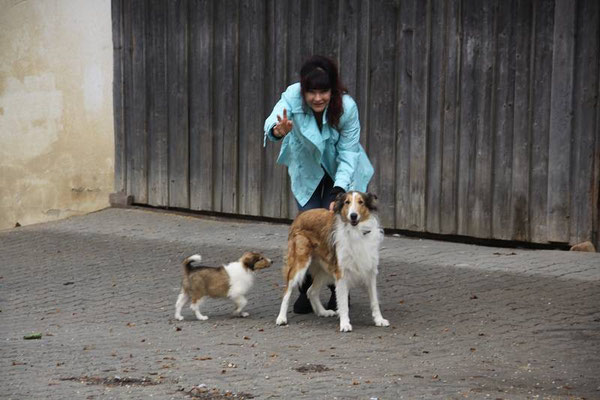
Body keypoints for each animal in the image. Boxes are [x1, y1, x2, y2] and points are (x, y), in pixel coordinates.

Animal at [276, 191, 390, 332]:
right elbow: (343, 302)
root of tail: (301, 215)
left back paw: (323, 312)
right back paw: (281, 318)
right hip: (300, 264)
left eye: (361, 202)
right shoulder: (341, 274)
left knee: (311, 291)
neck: (356, 232)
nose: (353, 215)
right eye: (347, 202)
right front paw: (345, 324)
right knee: (287, 291)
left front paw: (379, 320)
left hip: (324, 269)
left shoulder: (370, 272)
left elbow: (374, 300)